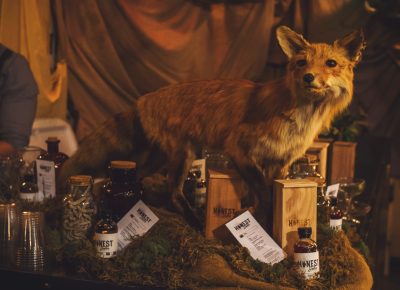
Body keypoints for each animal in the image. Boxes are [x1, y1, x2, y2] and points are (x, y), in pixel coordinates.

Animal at [58, 25, 362, 227]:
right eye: (301, 63)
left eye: (331, 63)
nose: (309, 77)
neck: (298, 118)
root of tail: (143, 99)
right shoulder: (239, 148)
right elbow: (263, 195)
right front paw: (258, 222)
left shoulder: (281, 161)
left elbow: (273, 196)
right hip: (182, 155)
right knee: (174, 192)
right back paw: (191, 220)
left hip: (163, 156)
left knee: (142, 177)